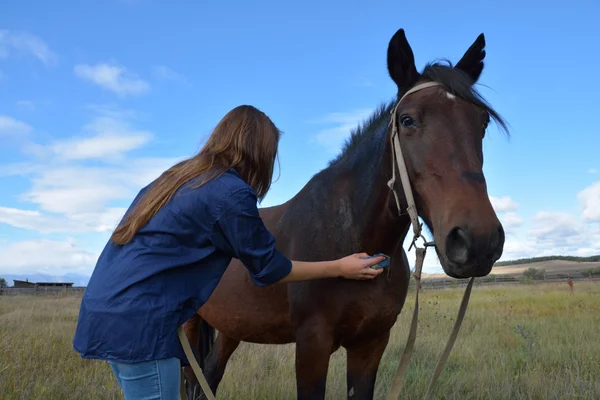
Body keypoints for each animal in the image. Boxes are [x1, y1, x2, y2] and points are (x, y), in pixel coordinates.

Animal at [182, 28, 506, 400]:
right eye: (407, 120)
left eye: (482, 123)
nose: (478, 241)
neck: (350, 234)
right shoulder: (312, 344)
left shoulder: (371, 344)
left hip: (230, 327)